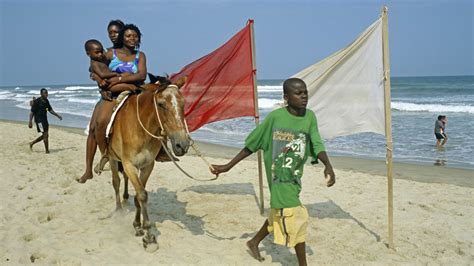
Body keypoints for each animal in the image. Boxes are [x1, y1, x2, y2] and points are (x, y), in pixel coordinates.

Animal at [105, 75, 189, 251]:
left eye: (183, 103)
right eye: (161, 104)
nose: (182, 145)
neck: (141, 129)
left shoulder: (147, 166)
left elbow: (139, 195)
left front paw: (138, 226)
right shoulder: (129, 165)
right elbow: (142, 195)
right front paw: (149, 237)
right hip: (112, 158)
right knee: (116, 181)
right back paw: (119, 210)